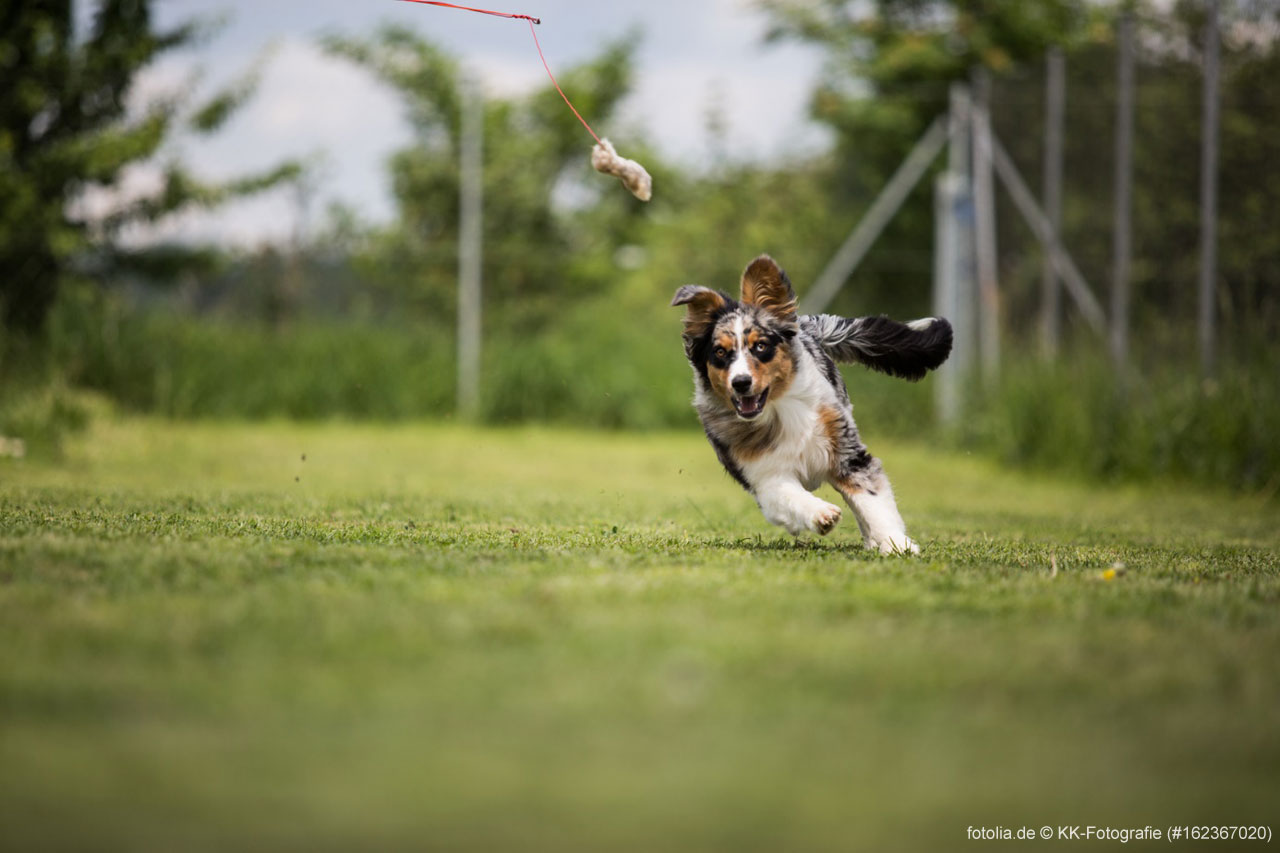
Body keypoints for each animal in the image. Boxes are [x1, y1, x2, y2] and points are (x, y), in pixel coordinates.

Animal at [670, 252, 952, 550]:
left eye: (760, 346)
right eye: (721, 352)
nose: (741, 382)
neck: (776, 411)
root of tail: (806, 323)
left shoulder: (848, 453)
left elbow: (871, 501)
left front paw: (896, 544)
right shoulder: (762, 475)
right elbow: (789, 494)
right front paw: (822, 514)